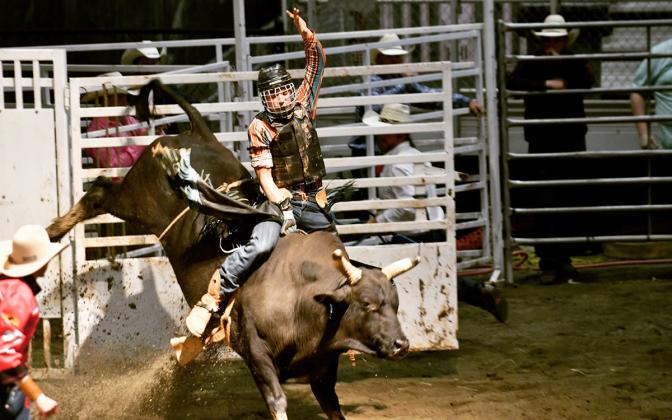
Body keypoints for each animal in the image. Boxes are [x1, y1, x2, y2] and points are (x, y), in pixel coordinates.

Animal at [47, 80, 418, 420]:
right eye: (367, 304)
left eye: (395, 304)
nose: (402, 344)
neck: (305, 297)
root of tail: (198, 135)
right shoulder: (256, 353)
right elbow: (277, 401)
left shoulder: (323, 370)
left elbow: (333, 408)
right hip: (138, 199)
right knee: (100, 190)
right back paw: (54, 230)